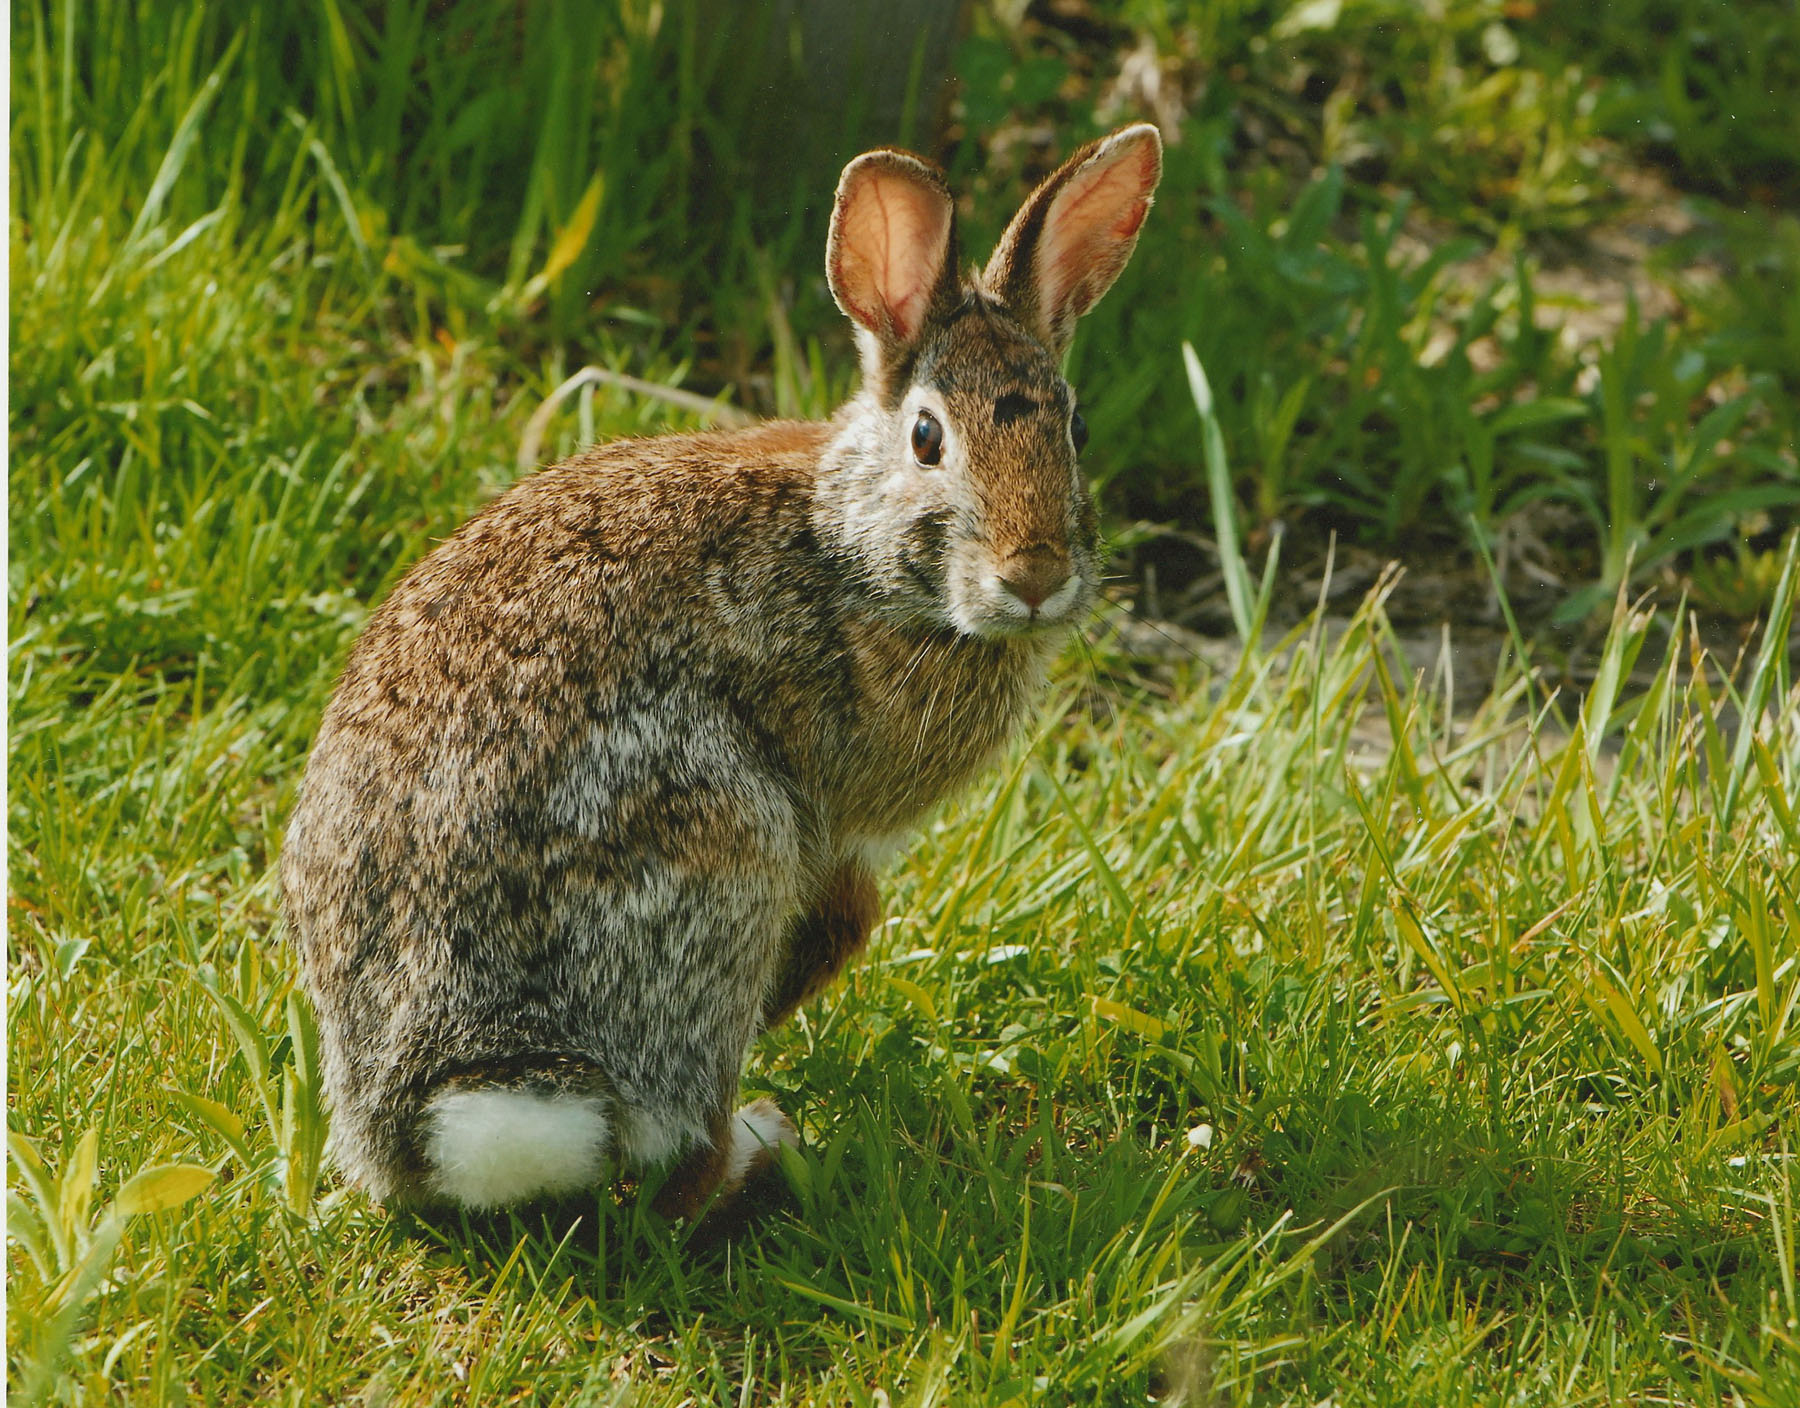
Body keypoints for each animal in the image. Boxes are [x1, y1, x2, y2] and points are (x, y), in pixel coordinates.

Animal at [273, 126, 1159, 1217]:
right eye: (927, 437)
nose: (1033, 576)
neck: (846, 548)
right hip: (717, 847)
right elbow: (850, 912)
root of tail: (419, 1125)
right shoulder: (830, 817)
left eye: (1074, 430)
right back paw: (763, 1144)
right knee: (679, 1159)